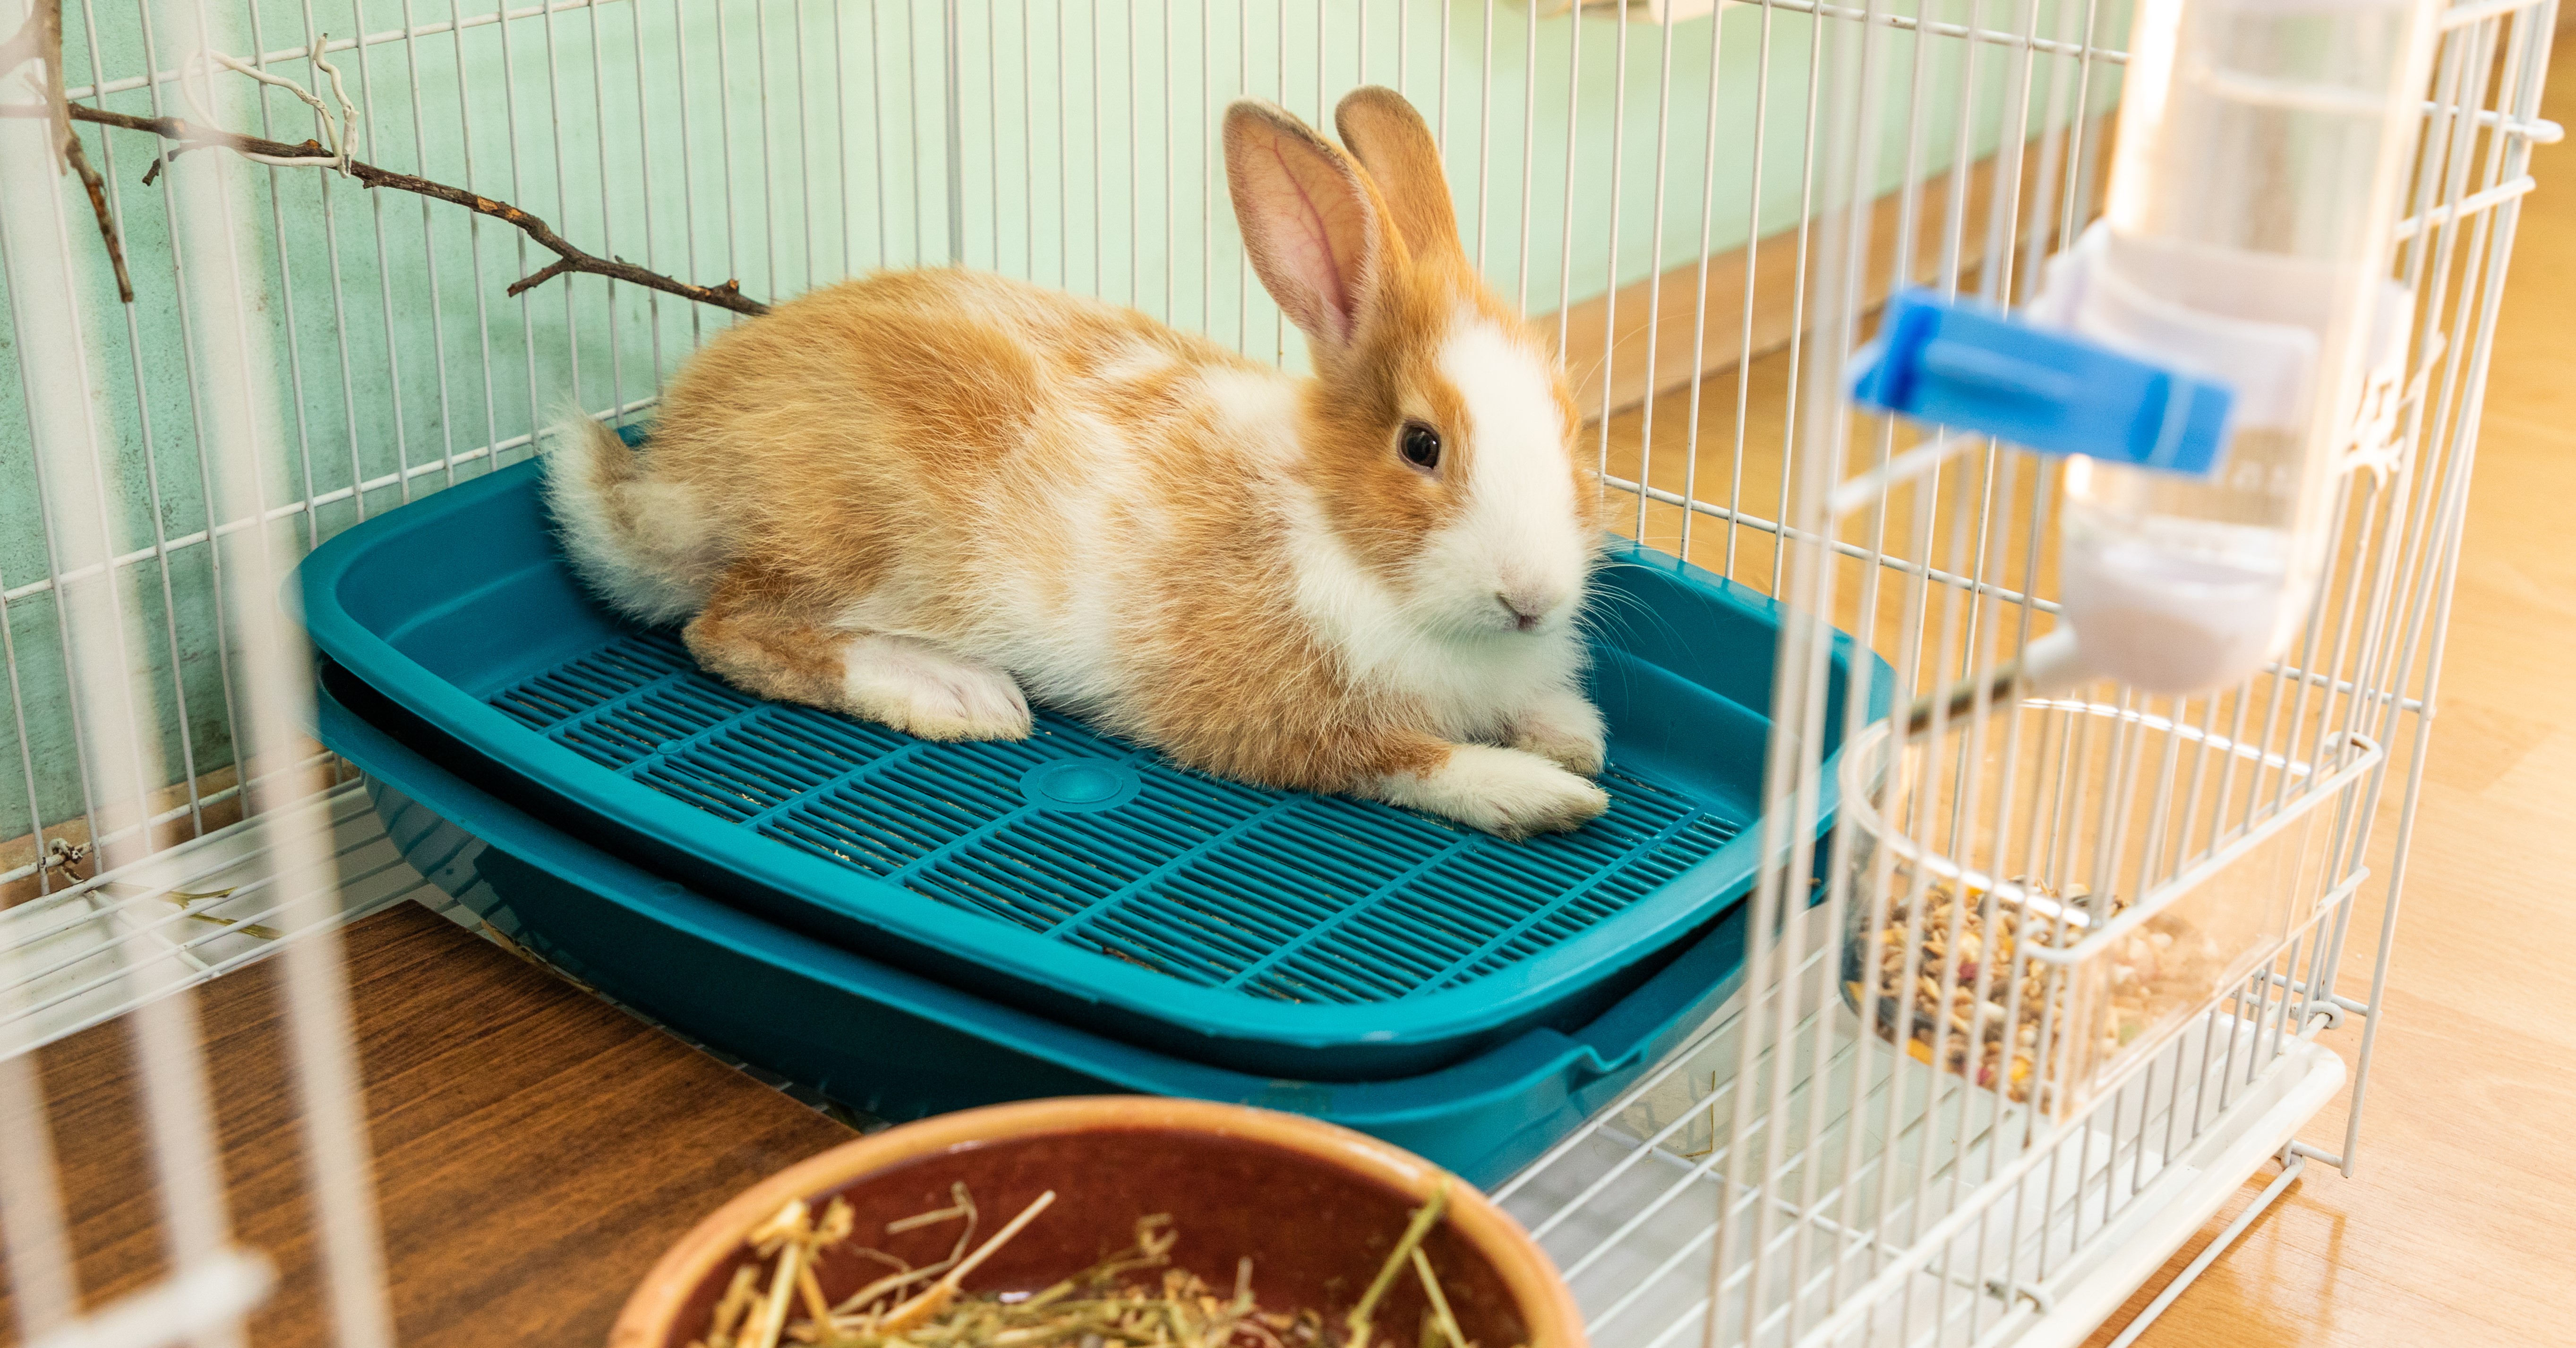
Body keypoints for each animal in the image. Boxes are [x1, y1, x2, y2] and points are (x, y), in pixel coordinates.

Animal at [542, 87, 1611, 839]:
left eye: (1567, 426)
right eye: (1420, 445)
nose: (1531, 600)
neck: (1339, 534)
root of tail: (659, 481)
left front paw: (1573, 733)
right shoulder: (1276, 723)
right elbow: (1404, 760)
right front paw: (1541, 792)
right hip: (848, 541)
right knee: (728, 631)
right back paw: (952, 693)